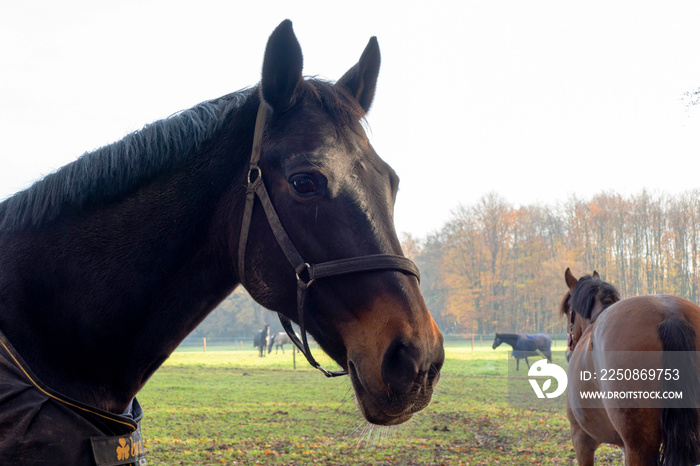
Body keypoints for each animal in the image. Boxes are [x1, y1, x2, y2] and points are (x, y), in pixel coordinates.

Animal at [560, 270, 700, 466]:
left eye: (568, 310)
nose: (568, 351)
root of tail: (671, 313)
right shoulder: (623, 447)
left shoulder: (581, 438)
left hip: (638, 446)